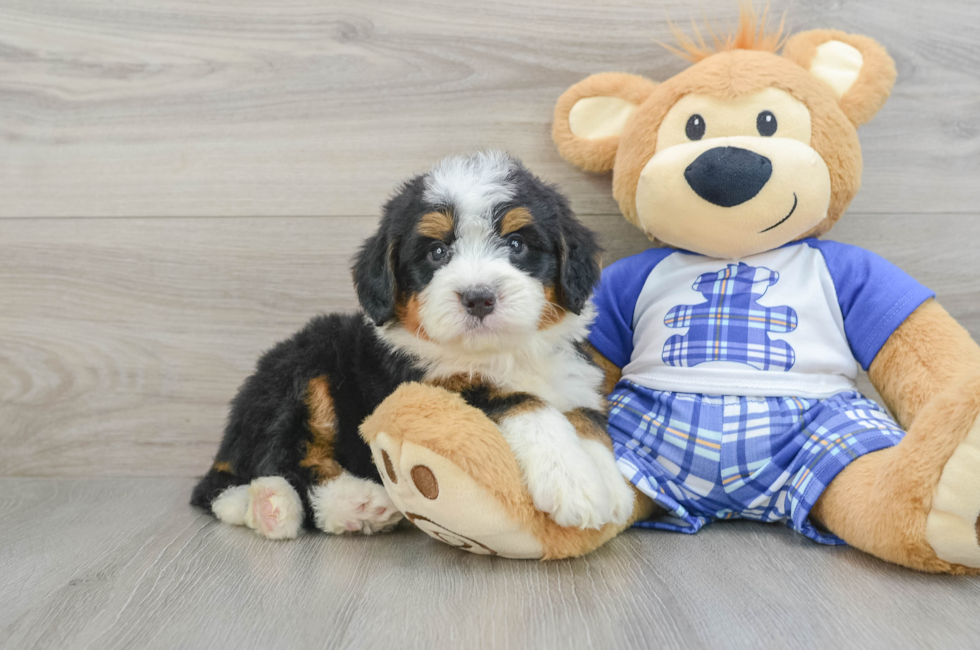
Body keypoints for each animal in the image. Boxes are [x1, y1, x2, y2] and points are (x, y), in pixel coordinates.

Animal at [189, 151, 636, 536]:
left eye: (516, 244)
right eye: (437, 252)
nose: (478, 297)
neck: (502, 353)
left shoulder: (574, 377)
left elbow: (587, 419)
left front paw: (611, 486)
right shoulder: (427, 387)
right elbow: (521, 400)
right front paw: (572, 479)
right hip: (303, 369)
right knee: (286, 461)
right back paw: (311, 504)